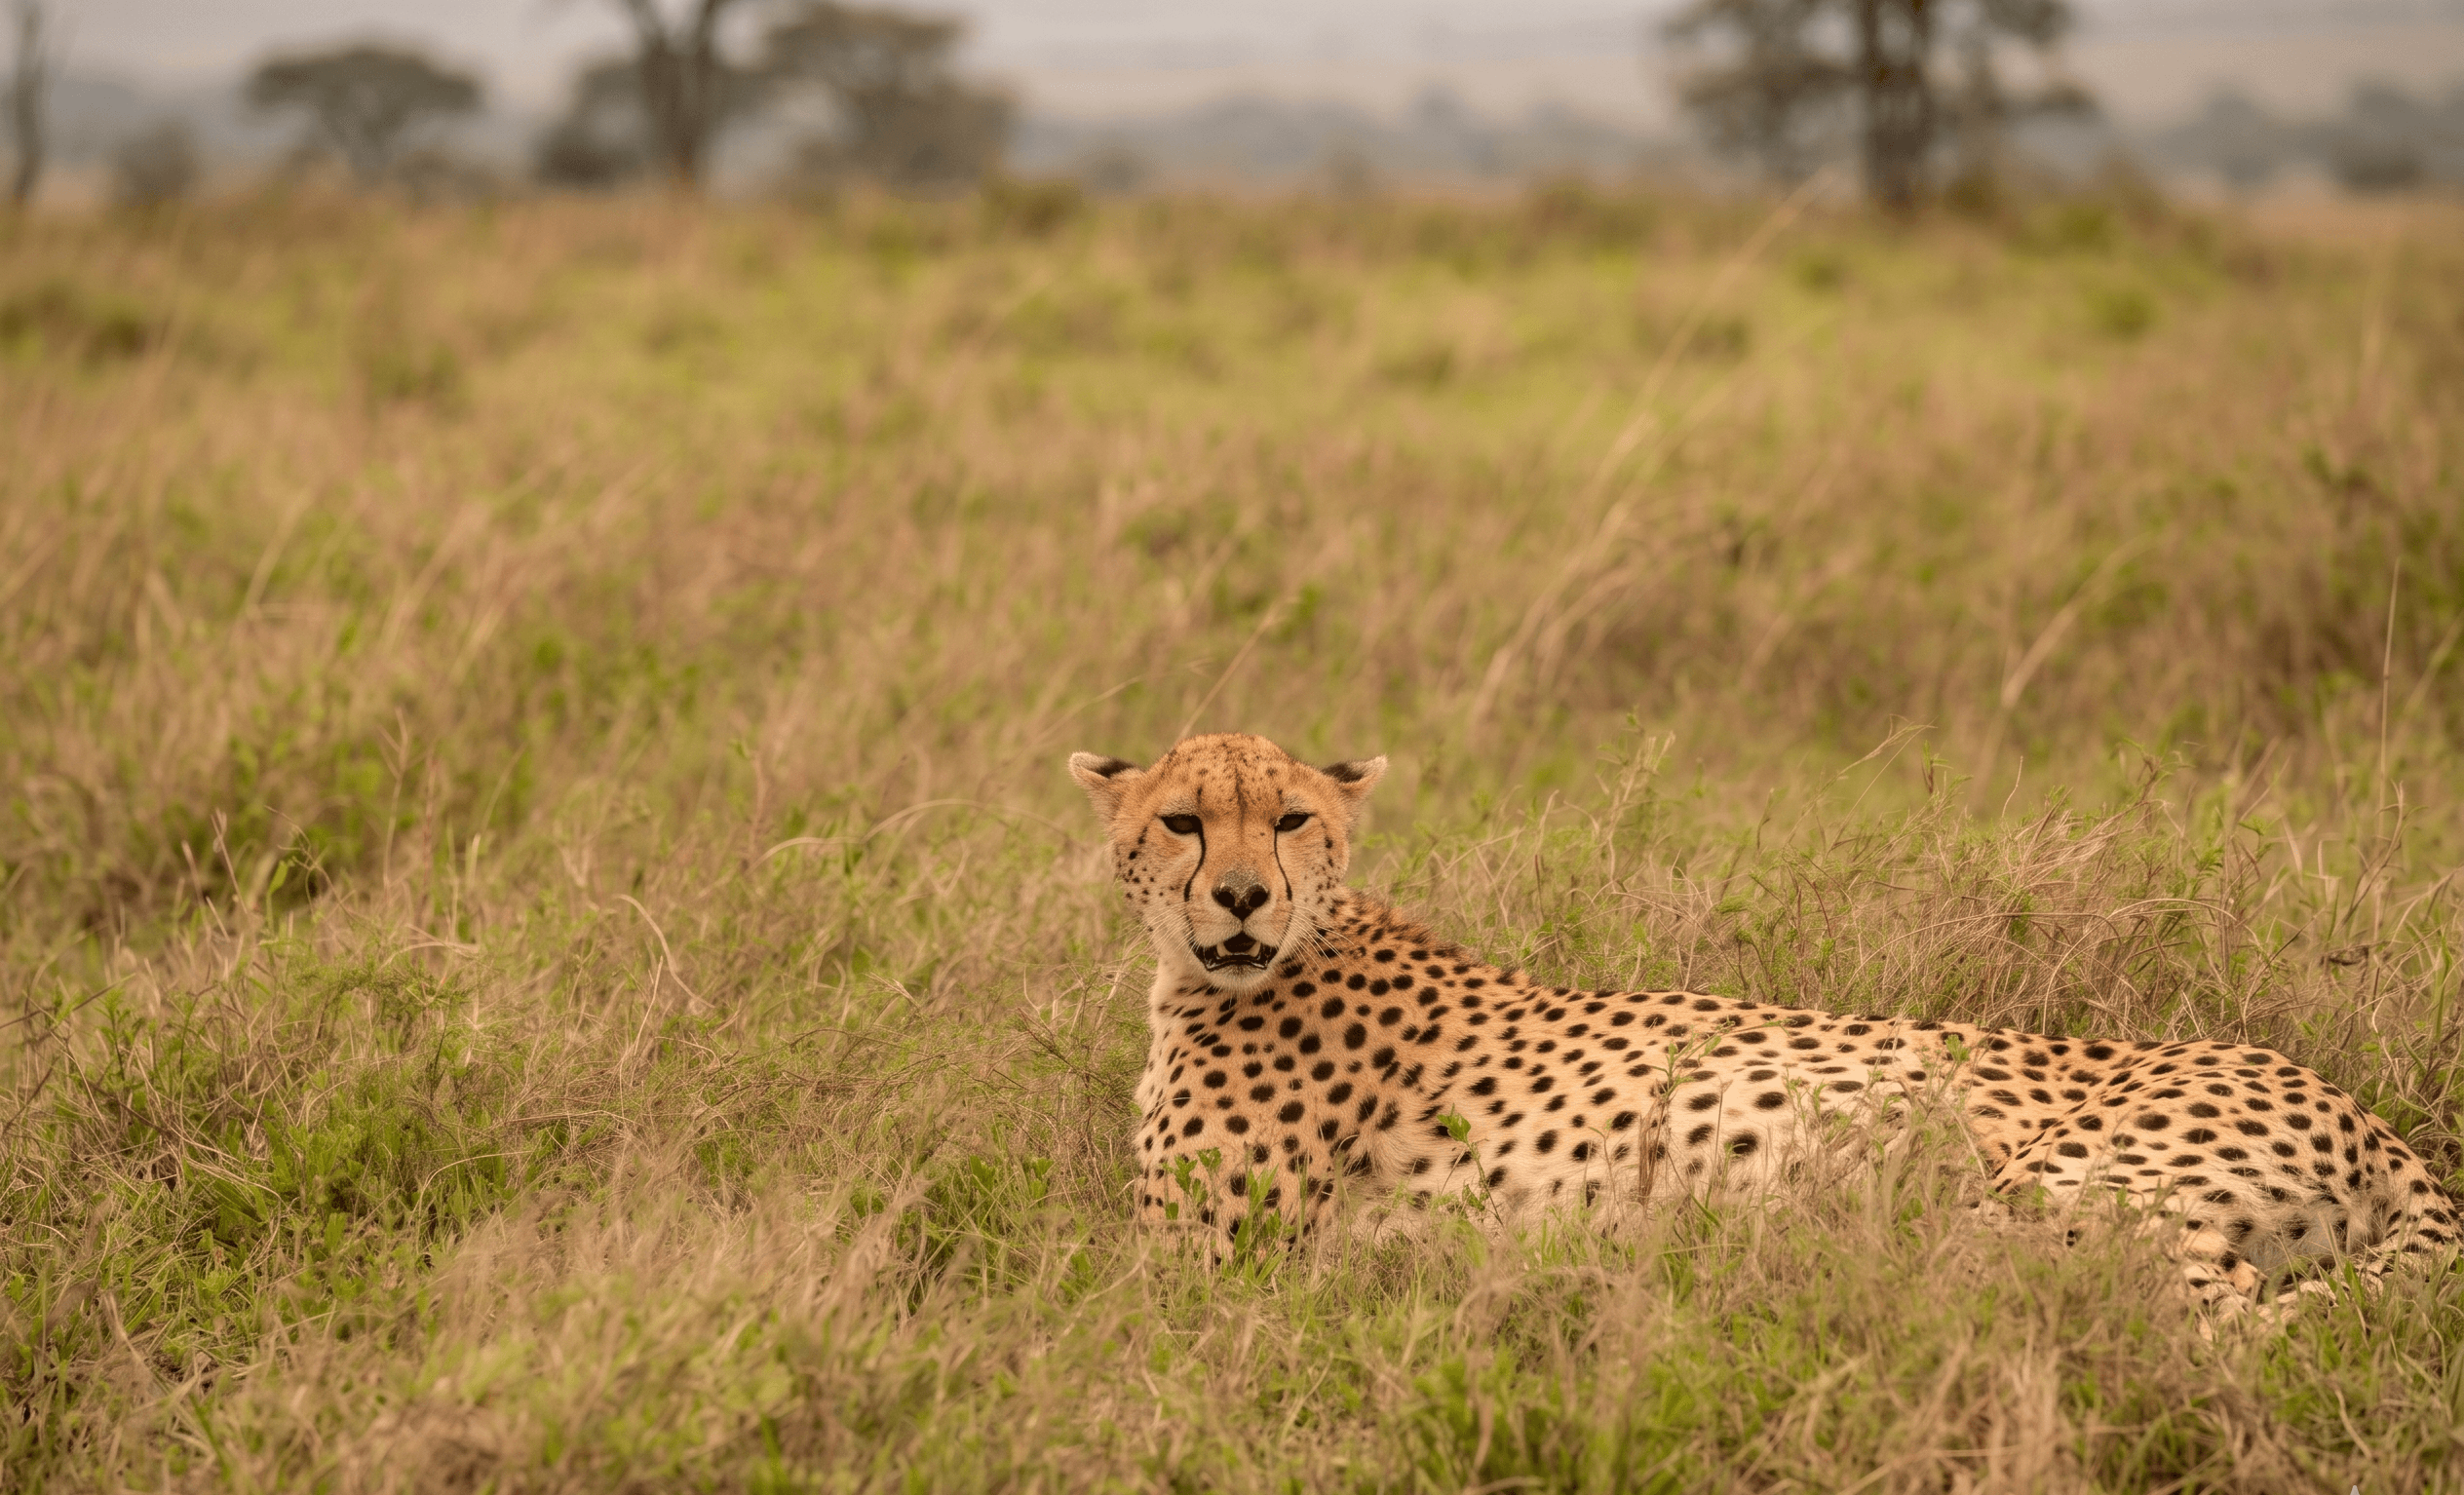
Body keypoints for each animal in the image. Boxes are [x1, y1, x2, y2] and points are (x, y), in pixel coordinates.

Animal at [1068, 732, 2459, 1310]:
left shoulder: (1195, 1262)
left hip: (2033, 1208)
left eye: (1290, 818)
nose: (1240, 894)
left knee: (2242, 1324)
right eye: (1183, 821)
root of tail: (2352, 1104)